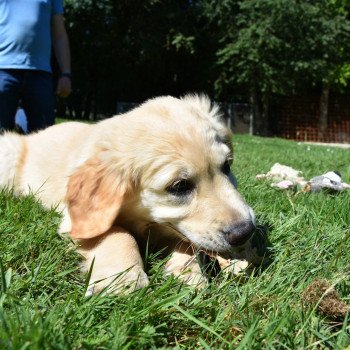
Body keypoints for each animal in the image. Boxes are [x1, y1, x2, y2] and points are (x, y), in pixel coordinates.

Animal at [0, 94, 258, 294]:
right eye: (179, 186)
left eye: (227, 166)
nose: (246, 232)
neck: (142, 219)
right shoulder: (78, 220)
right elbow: (118, 233)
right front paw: (123, 279)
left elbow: (187, 243)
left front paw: (189, 273)